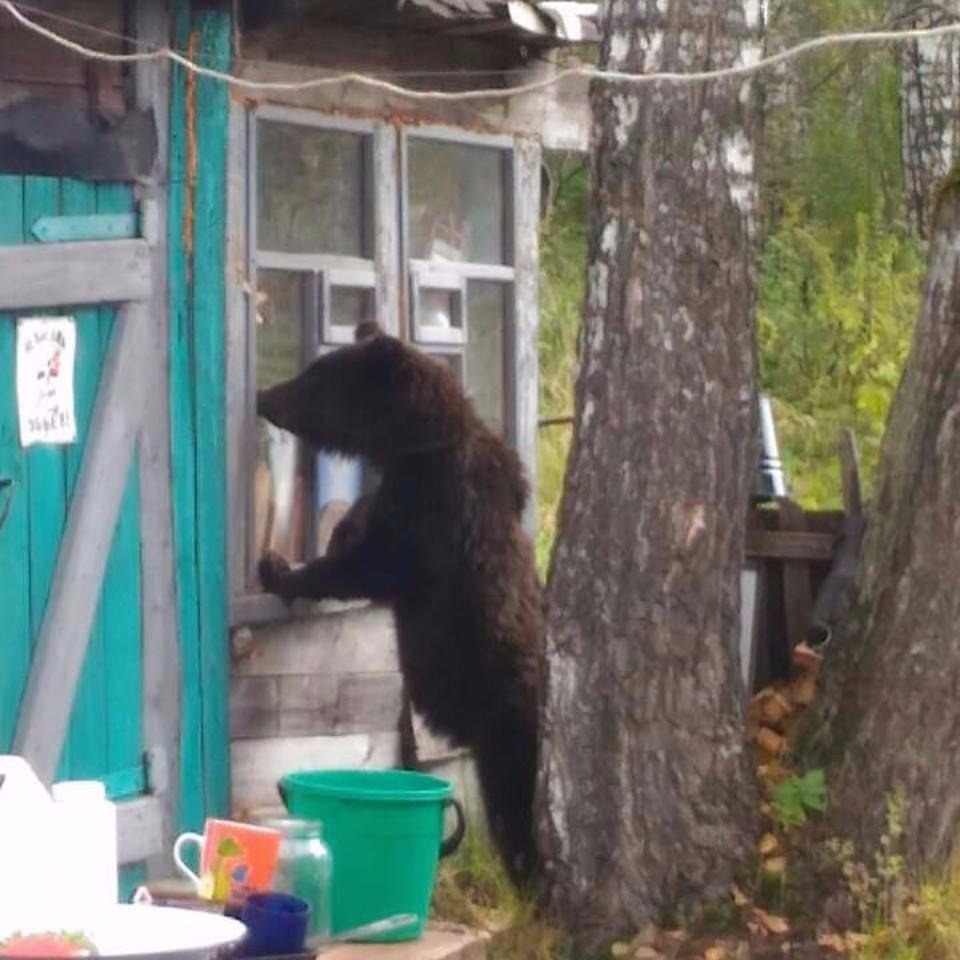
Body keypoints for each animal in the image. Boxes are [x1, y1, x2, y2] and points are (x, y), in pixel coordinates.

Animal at [255, 320, 544, 884]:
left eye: (316, 377)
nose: (264, 395)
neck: (412, 445)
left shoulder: (428, 516)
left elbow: (366, 565)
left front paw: (279, 568)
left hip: (509, 736)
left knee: (515, 819)